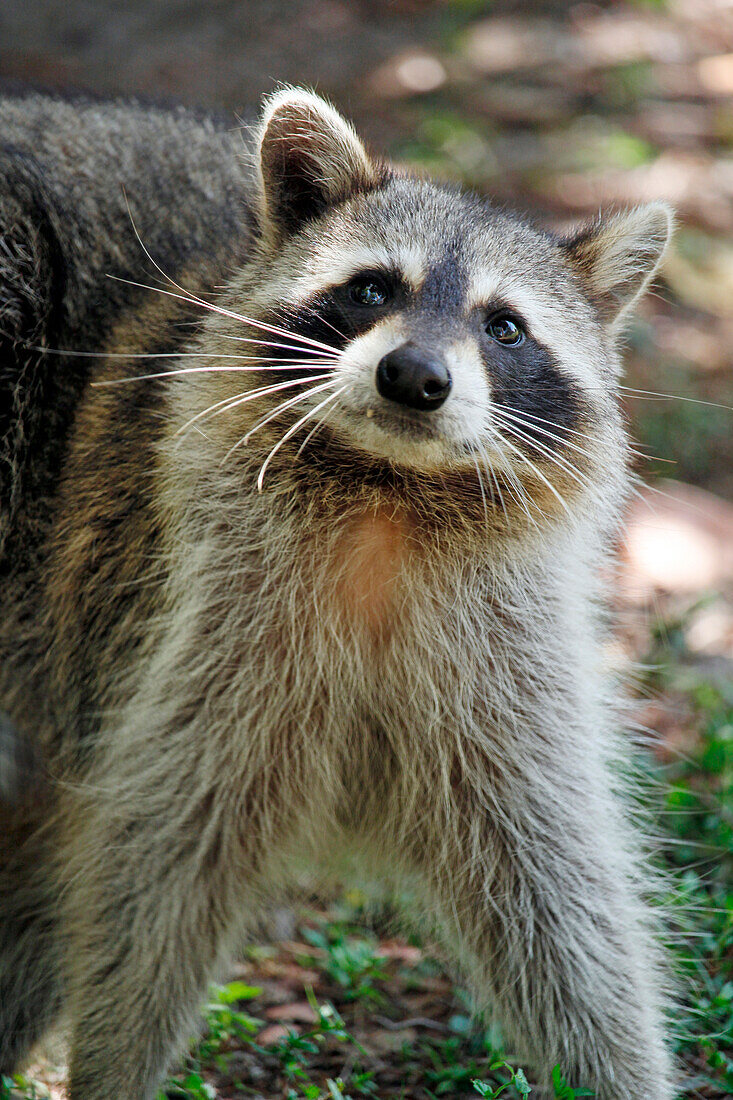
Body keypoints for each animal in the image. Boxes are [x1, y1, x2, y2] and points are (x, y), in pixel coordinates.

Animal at [0, 88, 673, 1100]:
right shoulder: (190, 621)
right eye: (372, 290)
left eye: (504, 327)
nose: (414, 377)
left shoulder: (502, 661)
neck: (386, 500)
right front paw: (113, 1071)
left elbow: (558, 897)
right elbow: (159, 859)